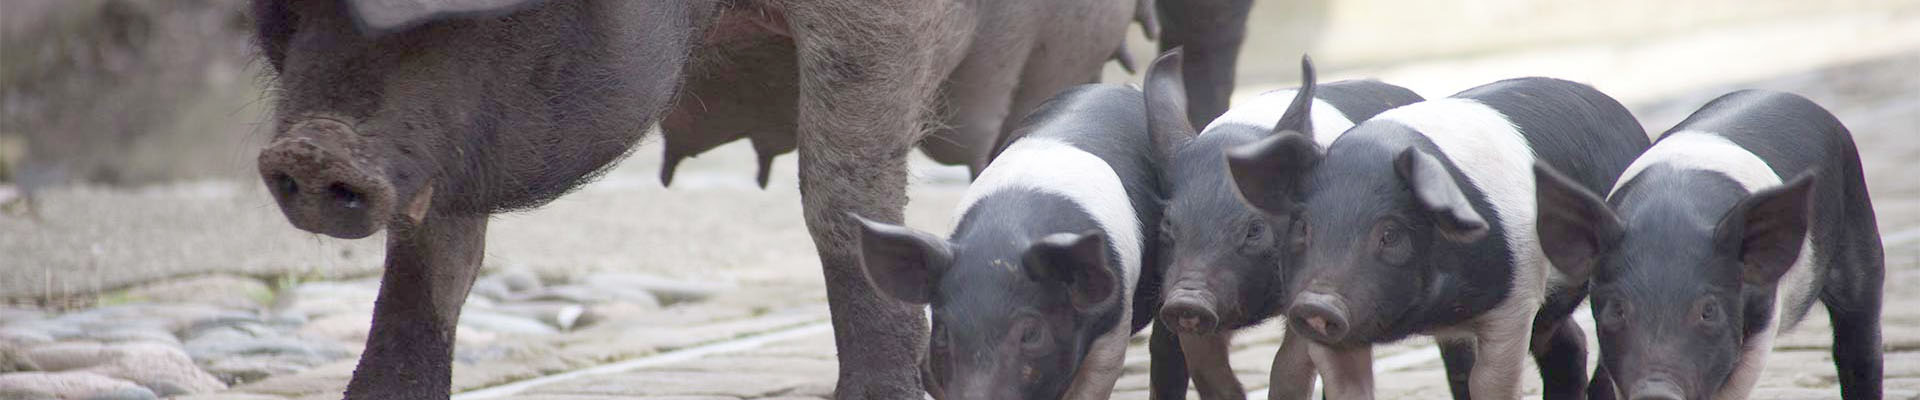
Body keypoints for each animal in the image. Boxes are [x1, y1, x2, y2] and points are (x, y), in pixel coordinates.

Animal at [1228, 77, 1651, 396]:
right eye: (1302, 226)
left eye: (1390, 234)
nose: (1317, 303)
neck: (1428, 316)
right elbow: (1347, 385)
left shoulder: (1517, 301)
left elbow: (1490, 383)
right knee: (1568, 343)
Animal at [1536, 90, 1881, 400]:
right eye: (1616, 309)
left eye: (1708, 310)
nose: (1657, 392)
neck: (1671, 218)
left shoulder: (1763, 319)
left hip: (1861, 235)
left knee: (1859, 347)